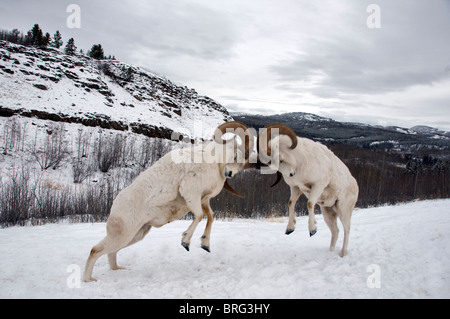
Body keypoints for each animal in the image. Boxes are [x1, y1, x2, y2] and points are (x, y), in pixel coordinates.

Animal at [84, 121, 253, 282]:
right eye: (235, 155)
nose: (229, 173)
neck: (212, 161)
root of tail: (114, 206)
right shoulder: (191, 195)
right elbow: (199, 216)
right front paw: (185, 242)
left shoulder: (204, 200)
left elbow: (210, 216)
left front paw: (205, 245)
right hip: (122, 235)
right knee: (95, 250)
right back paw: (88, 280)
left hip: (135, 235)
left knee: (111, 253)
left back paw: (117, 269)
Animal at [260, 125, 358, 258]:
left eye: (281, 159)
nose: (291, 174)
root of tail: (355, 186)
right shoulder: (296, 188)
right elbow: (291, 203)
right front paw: (290, 229)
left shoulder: (318, 185)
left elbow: (310, 204)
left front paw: (312, 230)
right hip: (328, 213)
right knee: (335, 231)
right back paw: (331, 251)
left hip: (343, 211)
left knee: (346, 230)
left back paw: (342, 254)